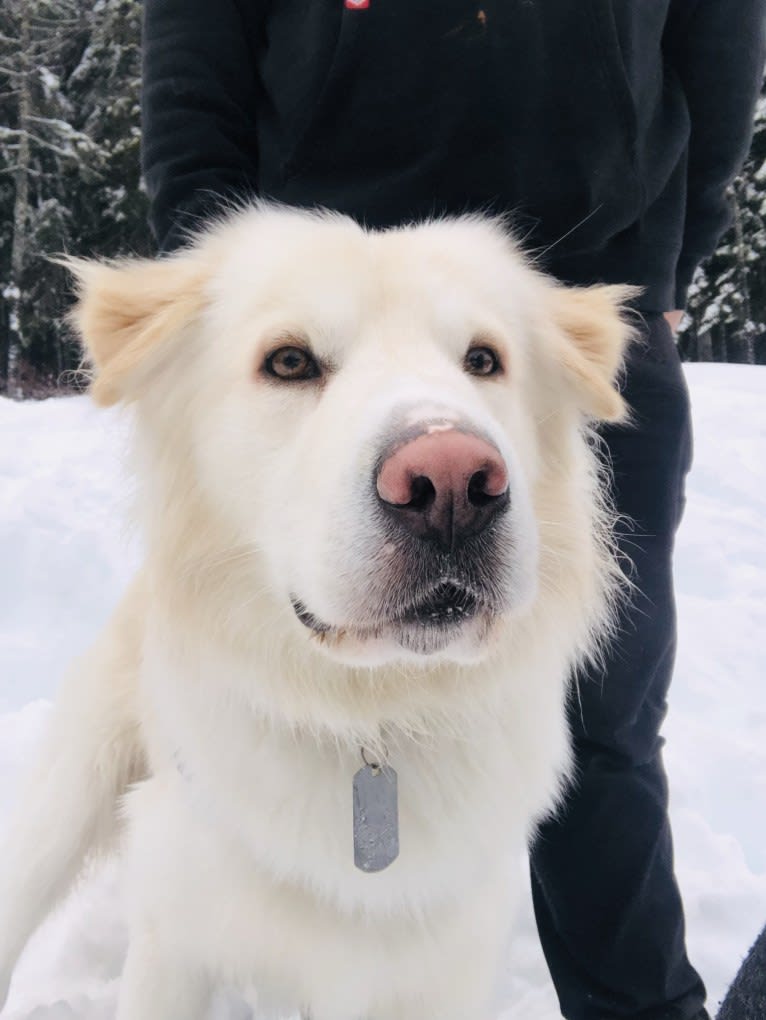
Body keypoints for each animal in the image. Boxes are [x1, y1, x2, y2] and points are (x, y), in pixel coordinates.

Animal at [0, 207, 636, 1020]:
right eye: (290, 362)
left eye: (483, 360)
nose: (453, 484)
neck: (371, 722)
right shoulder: (174, 940)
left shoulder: (446, 968)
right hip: (68, 795)